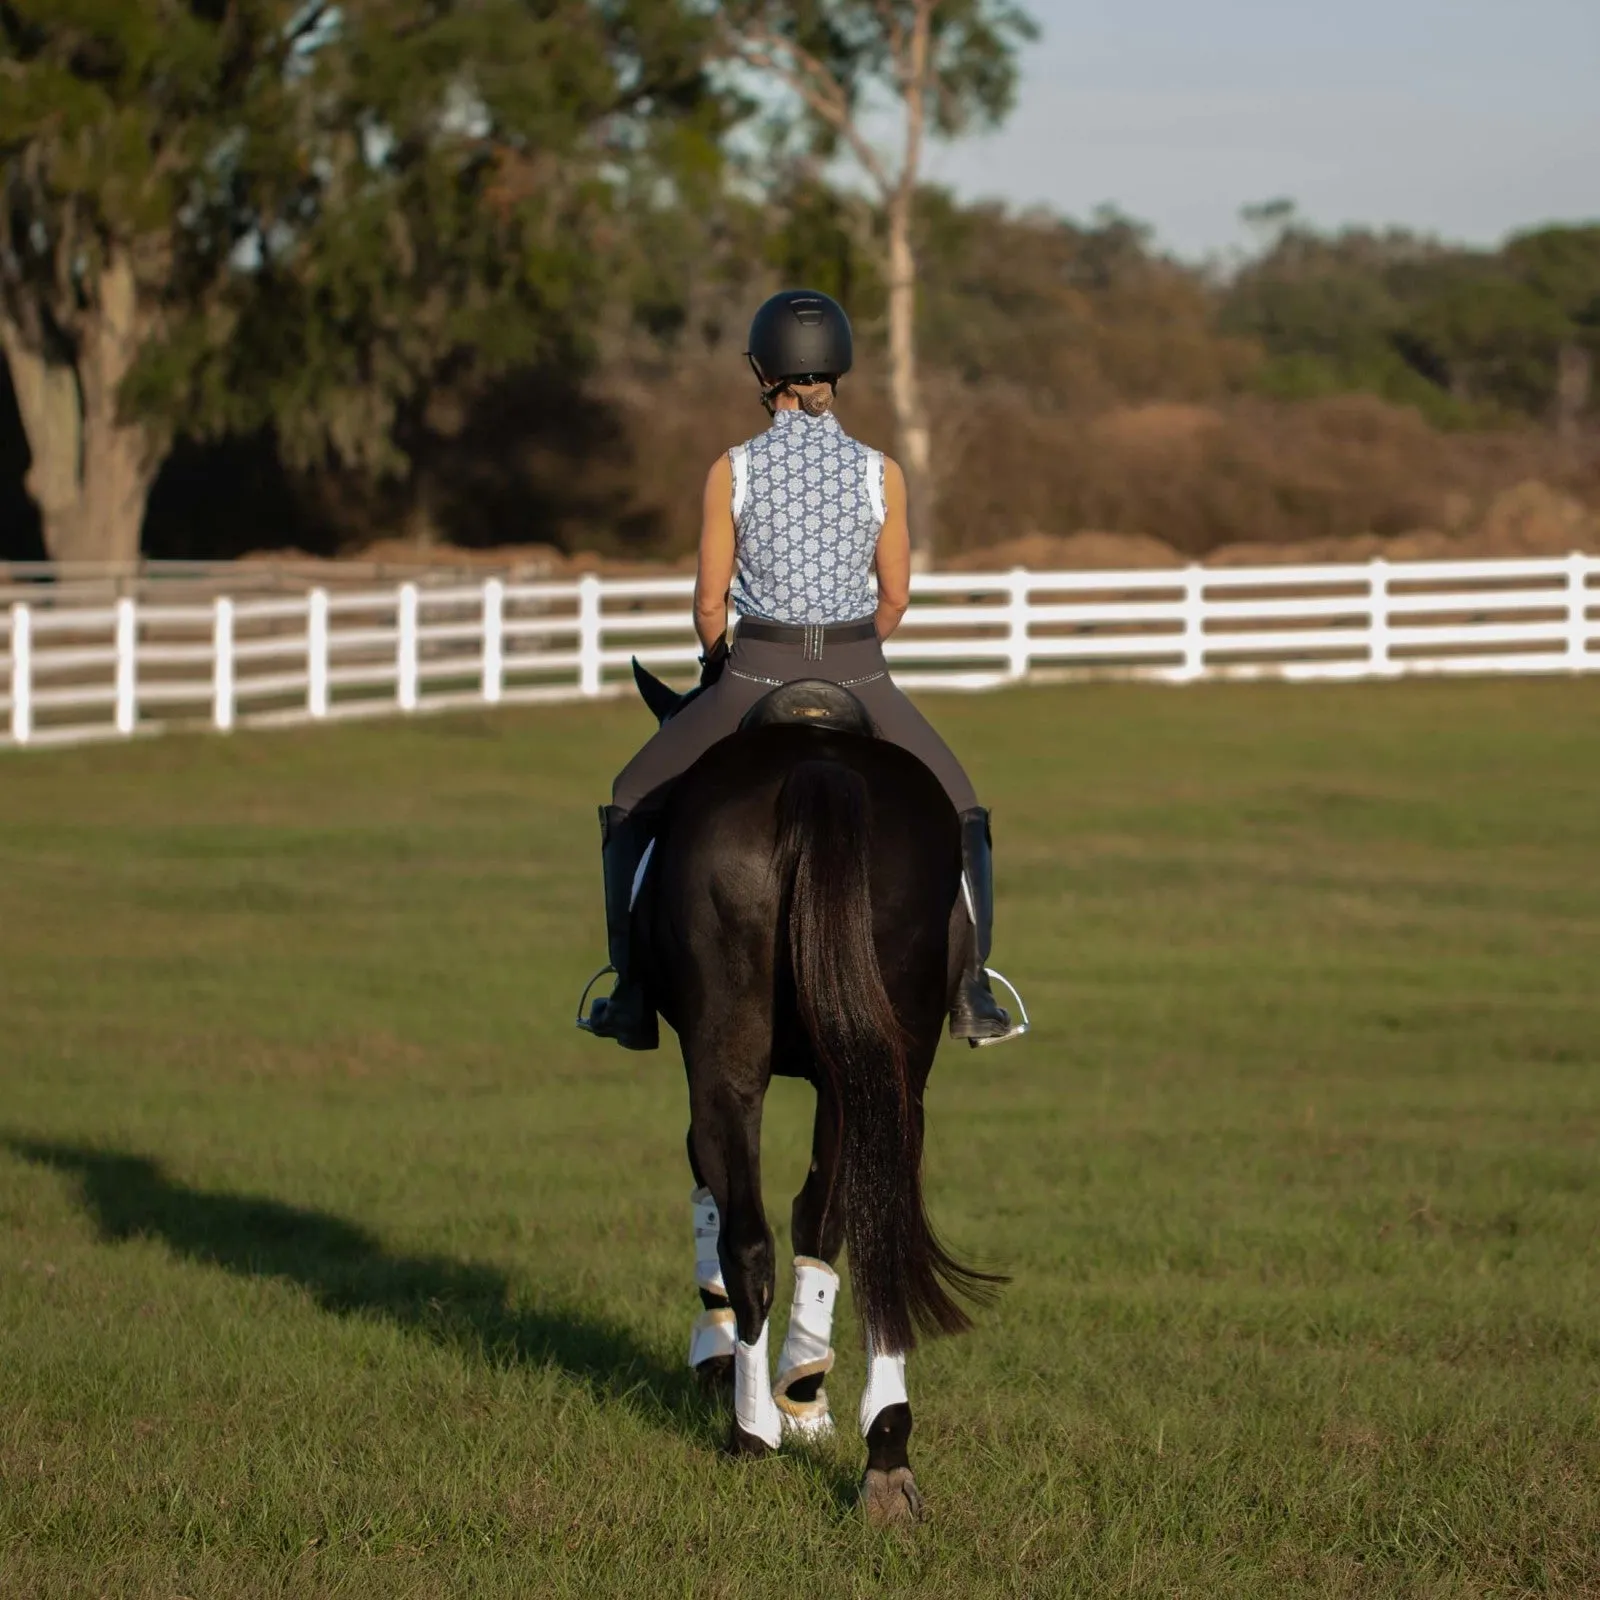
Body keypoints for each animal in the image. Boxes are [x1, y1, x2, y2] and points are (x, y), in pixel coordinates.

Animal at [620, 668, 1004, 1529]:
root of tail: (818, 770)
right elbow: (823, 1220)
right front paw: (805, 1389)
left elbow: (719, 1198)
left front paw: (741, 1369)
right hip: (890, 1069)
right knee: (873, 1229)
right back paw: (885, 1454)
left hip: (728, 1057)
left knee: (748, 1239)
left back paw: (750, 1431)